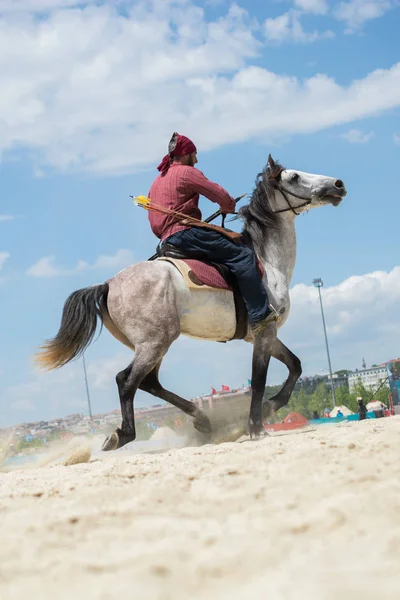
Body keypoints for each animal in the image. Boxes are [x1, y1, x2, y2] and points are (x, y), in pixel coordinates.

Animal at [35, 155, 346, 450]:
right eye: (294, 177)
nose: (338, 184)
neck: (266, 262)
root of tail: (108, 284)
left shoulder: (262, 335)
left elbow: (295, 366)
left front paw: (269, 408)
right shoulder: (264, 332)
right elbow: (259, 380)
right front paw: (256, 427)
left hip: (153, 344)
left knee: (149, 382)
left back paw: (203, 420)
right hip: (155, 342)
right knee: (126, 381)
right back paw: (123, 434)